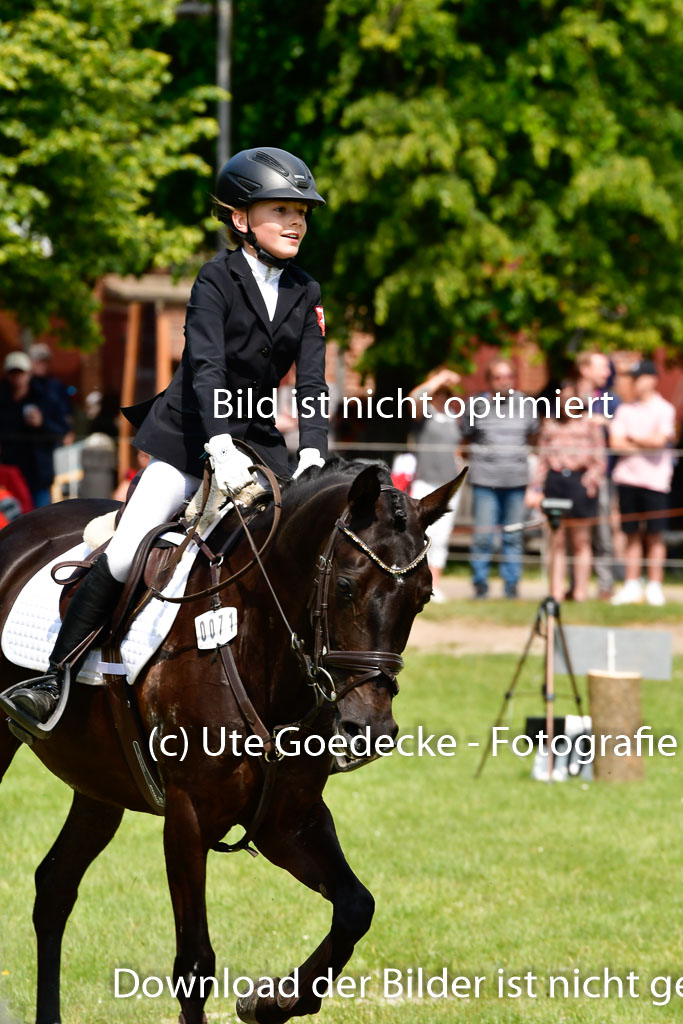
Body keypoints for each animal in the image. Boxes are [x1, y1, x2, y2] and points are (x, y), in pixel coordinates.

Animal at [0, 462, 464, 1024]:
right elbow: (195, 964)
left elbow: (356, 907)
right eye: (346, 586)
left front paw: (273, 1001)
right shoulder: (189, 817)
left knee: (55, 886)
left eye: (423, 596)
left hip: (98, 783)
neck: (255, 647)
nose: (369, 730)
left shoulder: (288, 820)